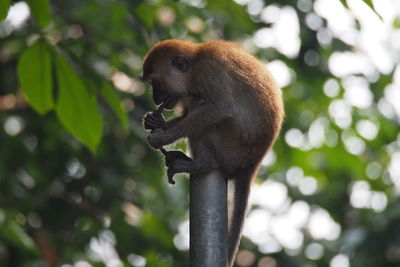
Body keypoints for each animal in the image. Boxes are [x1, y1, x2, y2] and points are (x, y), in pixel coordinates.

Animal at [142, 38, 282, 266]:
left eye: (155, 83)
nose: (155, 98)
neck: (194, 64)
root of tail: (252, 164)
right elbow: (189, 113)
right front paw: (157, 123)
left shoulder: (208, 71)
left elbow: (219, 108)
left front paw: (162, 138)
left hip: (231, 148)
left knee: (206, 121)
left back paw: (202, 164)